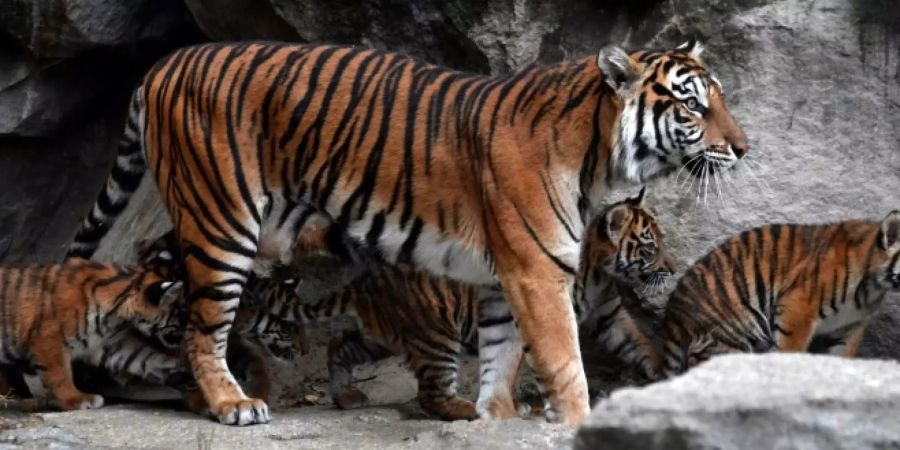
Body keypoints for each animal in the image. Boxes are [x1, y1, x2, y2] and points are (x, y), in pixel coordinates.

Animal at [67, 39, 748, 426]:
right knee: (201, 326)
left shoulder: (503, 278)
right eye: (693, 105)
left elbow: (501, 358)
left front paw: (496, 418)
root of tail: (162, 64)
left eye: (719, 98)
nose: (743, 148)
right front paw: (577, 421)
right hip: (220, 220)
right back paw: (231, 404)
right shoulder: (537, 271)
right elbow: (564, 360)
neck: (597, 151)